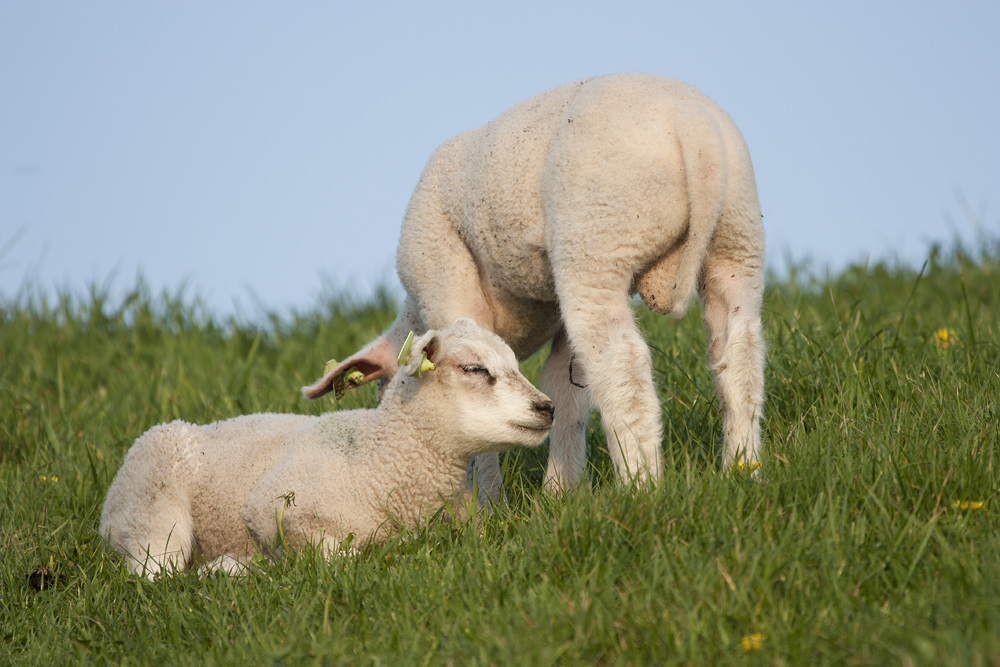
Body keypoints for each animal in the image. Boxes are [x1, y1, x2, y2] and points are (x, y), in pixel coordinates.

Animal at [99, 320, 556, 580]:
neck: (379, 458)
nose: (547, 408)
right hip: (153, 508)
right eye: (474, 369)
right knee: (157, 574)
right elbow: (346, 557)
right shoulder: (274, 507)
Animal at [312, 73, 764, 500]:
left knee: (623, 367)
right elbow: (565, 390)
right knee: (740, 352)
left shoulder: (445, 282)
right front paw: (560, 492)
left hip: (597, 242)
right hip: (737, 238)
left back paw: (641, 485)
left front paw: (488, 504)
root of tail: (692, 123)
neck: (414, 315)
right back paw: (742, 468)